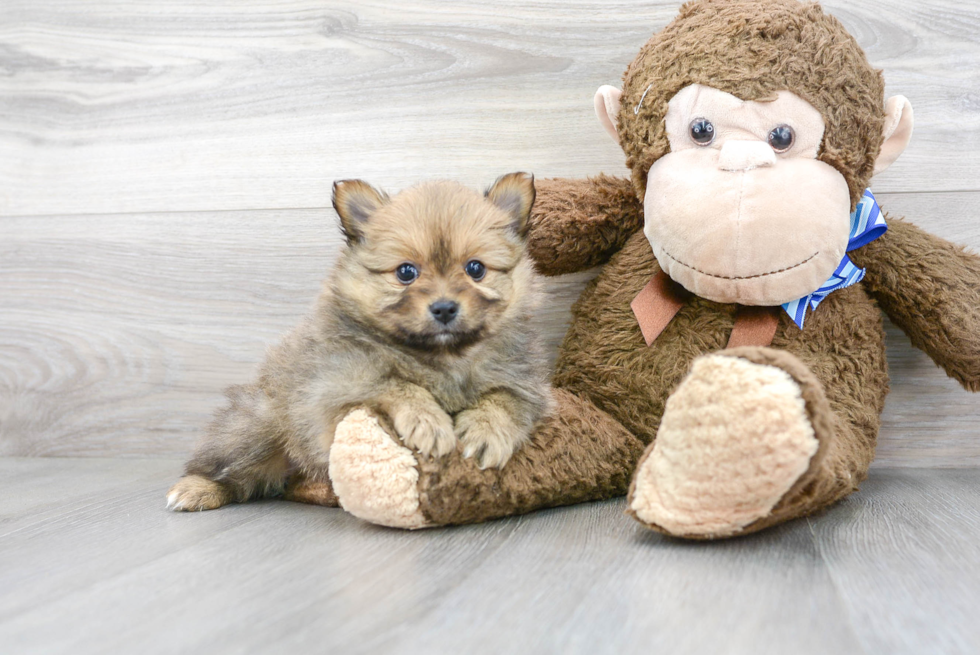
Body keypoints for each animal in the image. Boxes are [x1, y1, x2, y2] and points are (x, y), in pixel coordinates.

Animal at [167, 173, 552, 512]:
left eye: (475, 269)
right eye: (406, 272)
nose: (444, 308)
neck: (443, 357)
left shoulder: (526, 384)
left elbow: (504, 399)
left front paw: (486, 432)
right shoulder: (336, 386)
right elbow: (396, 383)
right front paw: (428, 422)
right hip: (257, 429)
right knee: (229, 471)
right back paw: (197, 489)